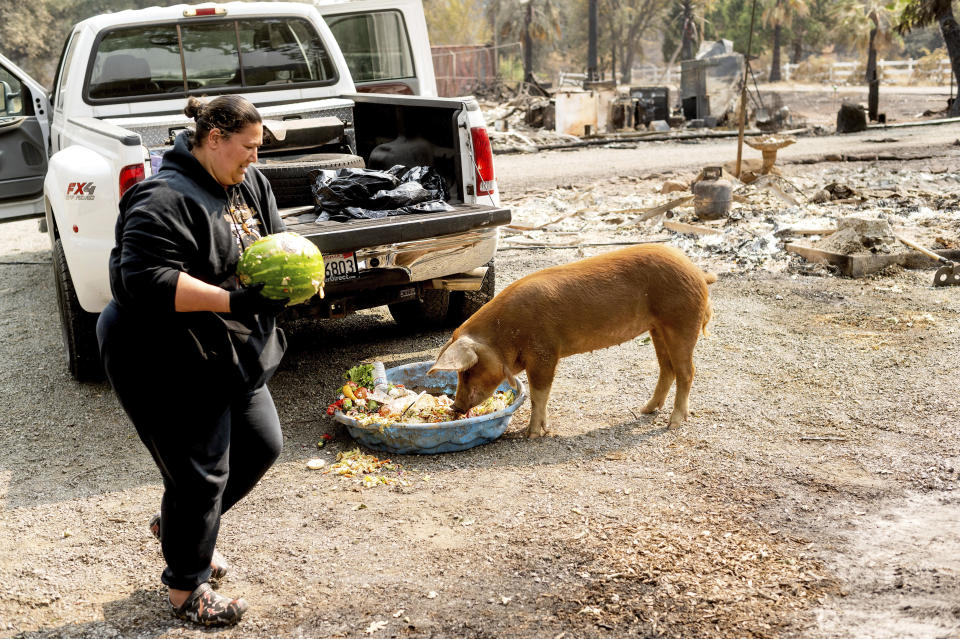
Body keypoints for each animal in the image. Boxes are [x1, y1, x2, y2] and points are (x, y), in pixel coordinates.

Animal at [426, 242, 712, 438]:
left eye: (467, 371)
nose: (455, 406)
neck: (504, 334)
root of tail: (697, 272)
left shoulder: (544, 352)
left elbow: (539, 394)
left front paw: (532, 435)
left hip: (681, 322)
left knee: (687, 371)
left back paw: (673, 423)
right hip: (657, 329)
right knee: (667, 369)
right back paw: (645, 409)